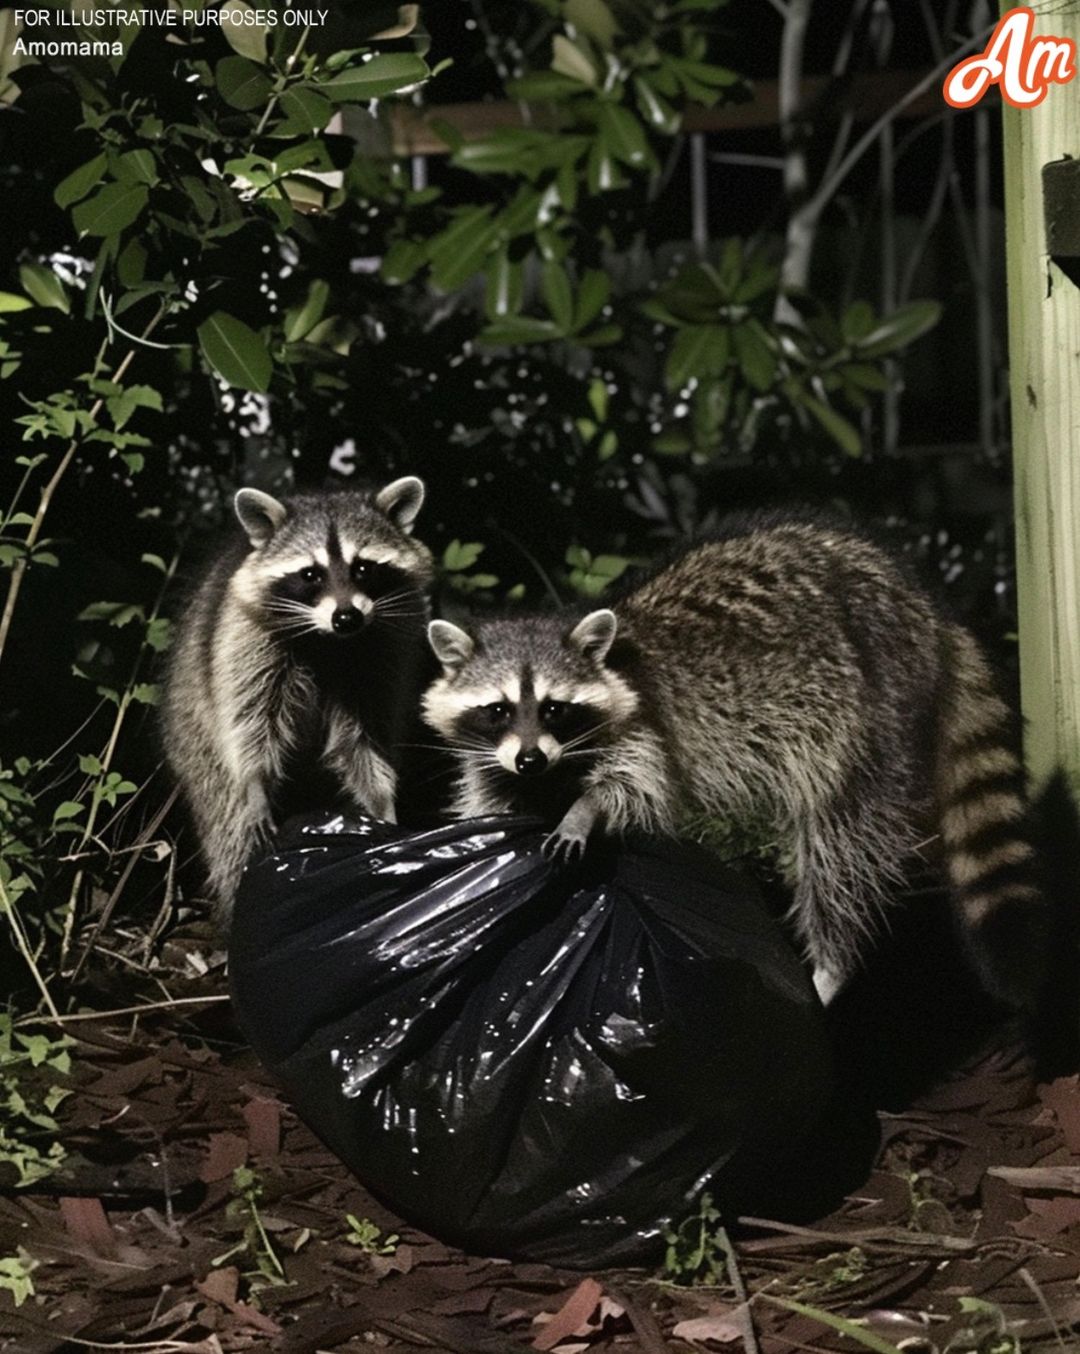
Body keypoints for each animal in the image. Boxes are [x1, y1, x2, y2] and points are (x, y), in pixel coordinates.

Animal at [163, 476, 433, 920]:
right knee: (228, 824)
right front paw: (256, 777)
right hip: (193, 738)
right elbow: (249, 717)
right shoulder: (246, 637)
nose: (347, 617)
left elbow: (362, 738)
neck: (330, 639)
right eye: (310, 575)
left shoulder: (380, 654)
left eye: (363, 568)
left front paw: (382, 799)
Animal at [427, 511, 1055, 1012]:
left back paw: (830, 963)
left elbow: (636, 787)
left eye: (555, 709)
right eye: (498, 710)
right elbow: (491, 792)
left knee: (840, 840)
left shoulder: (647, 726)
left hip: (872, 707)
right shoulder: (496, 758)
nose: (531, 759)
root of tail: (929, 610)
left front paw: (584, 809)